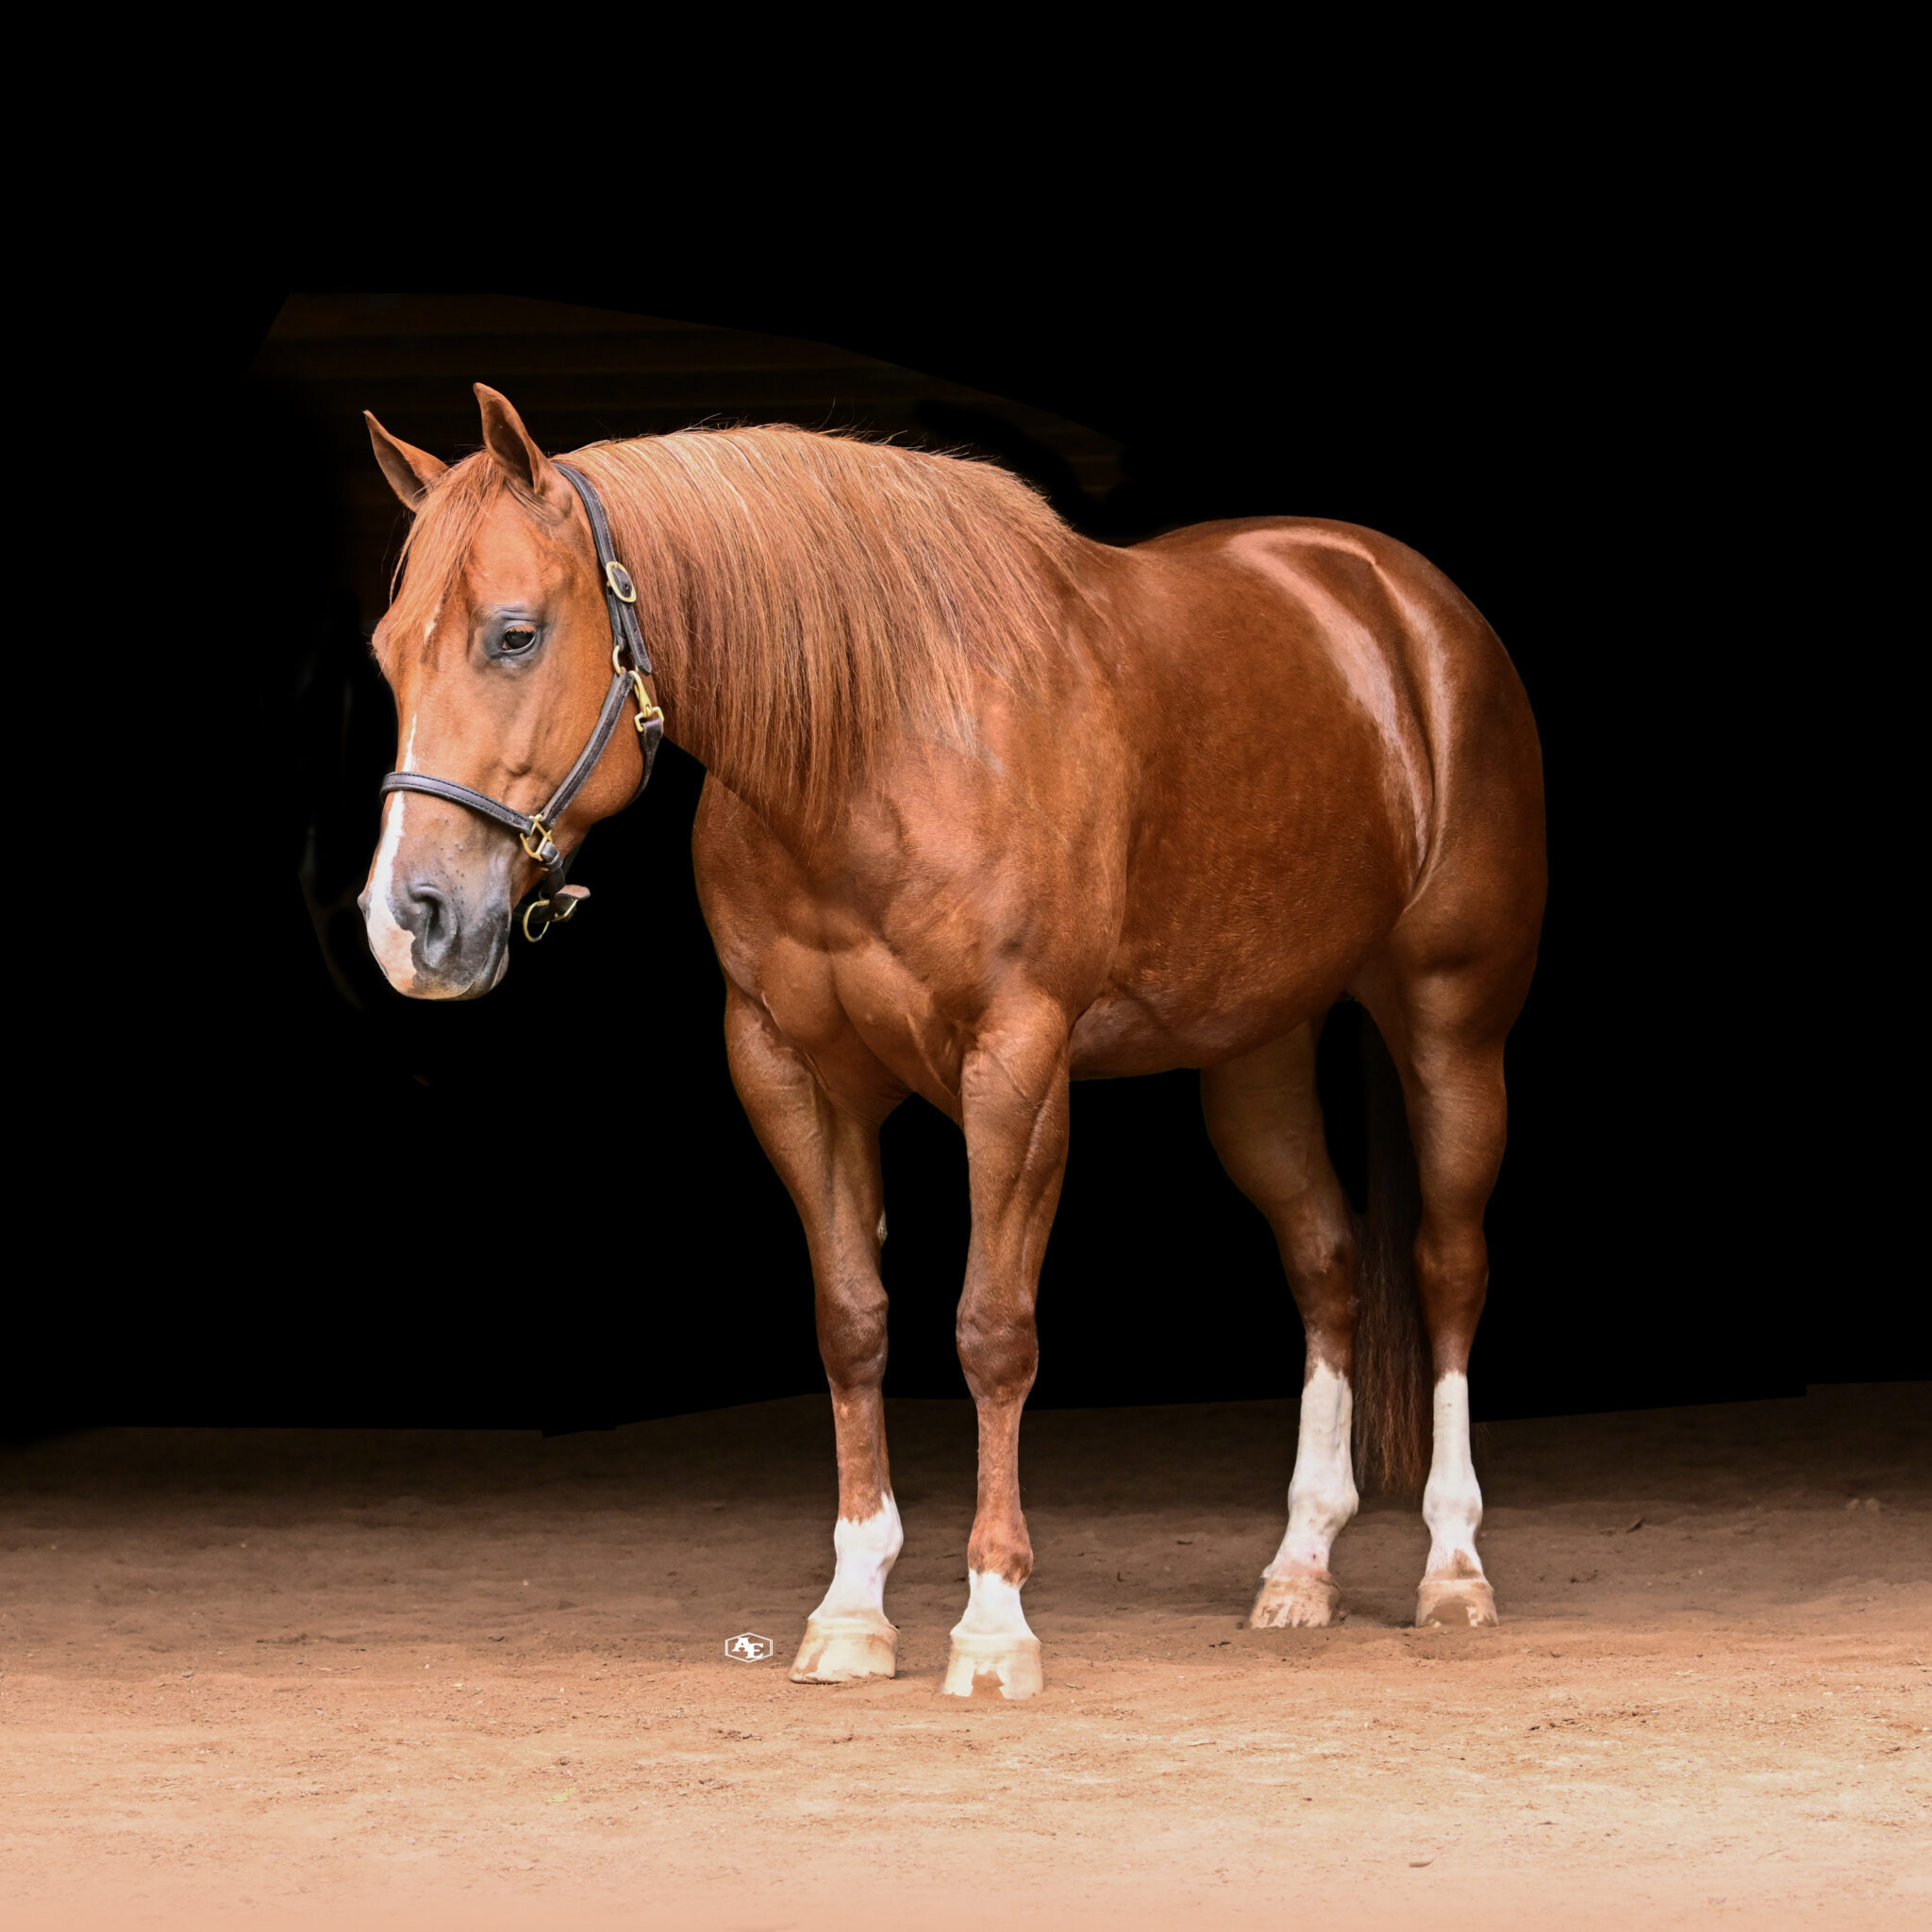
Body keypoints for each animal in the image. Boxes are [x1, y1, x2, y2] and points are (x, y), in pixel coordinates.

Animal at [358, 383, 1546, 1700]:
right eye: (387, 646)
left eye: (514, 634)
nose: (407, 921)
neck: (870, 744)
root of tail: (1399, 602)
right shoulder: (789, 1072)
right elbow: (850, 1321)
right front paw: (851, 1609)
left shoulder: (1015, 1067)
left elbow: (991, 1329)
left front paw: (991, 1618)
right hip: (1258, 1051)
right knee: (1326, 1263)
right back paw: (1298, 1566)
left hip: (1451, 1022)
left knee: (1445, 1266)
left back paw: (1451, 1566)